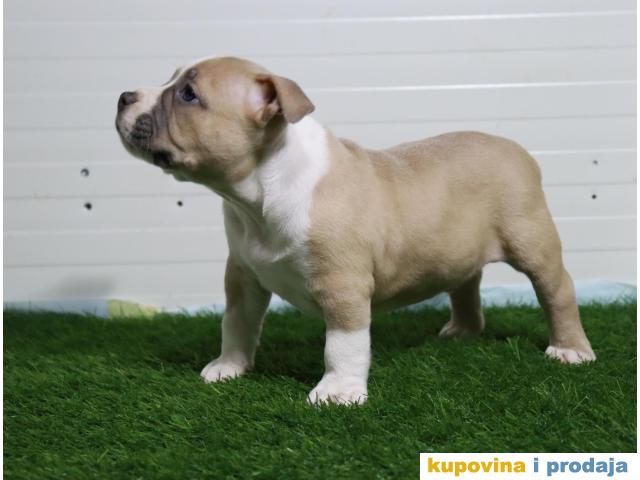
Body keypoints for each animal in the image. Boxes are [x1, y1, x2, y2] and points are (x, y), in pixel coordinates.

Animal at [116, 56, 595, 405]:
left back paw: (570, 348)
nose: (123, 95)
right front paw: (229, 365)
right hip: (458, 248)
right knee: (465, 280)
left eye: (188, 94)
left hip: (531, 239)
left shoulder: (341, 285)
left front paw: (338, 391)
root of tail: (517, 150)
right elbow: (236, 321)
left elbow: (343, 344)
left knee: (557, 289)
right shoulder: (243, 275)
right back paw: (463, 330)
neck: (260, 194)